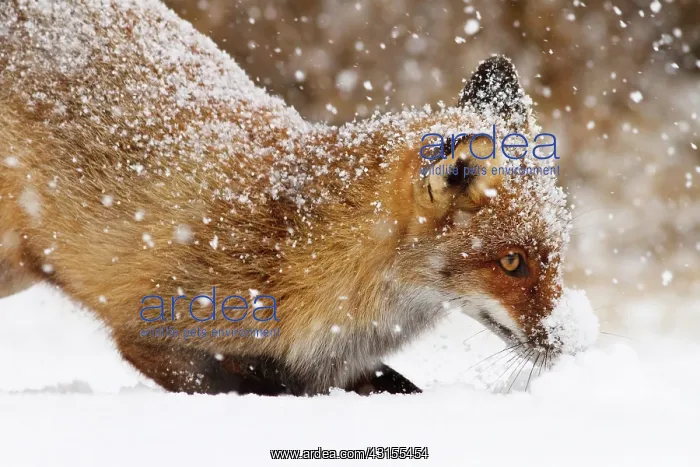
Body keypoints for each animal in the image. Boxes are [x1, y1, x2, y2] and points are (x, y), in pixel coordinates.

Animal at [0, 0, 584, 396]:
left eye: (555, 256)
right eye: (512, 263)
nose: (575, 341)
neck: (290, 248)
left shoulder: (335, 366)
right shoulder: (155, 334)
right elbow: (256, 389)